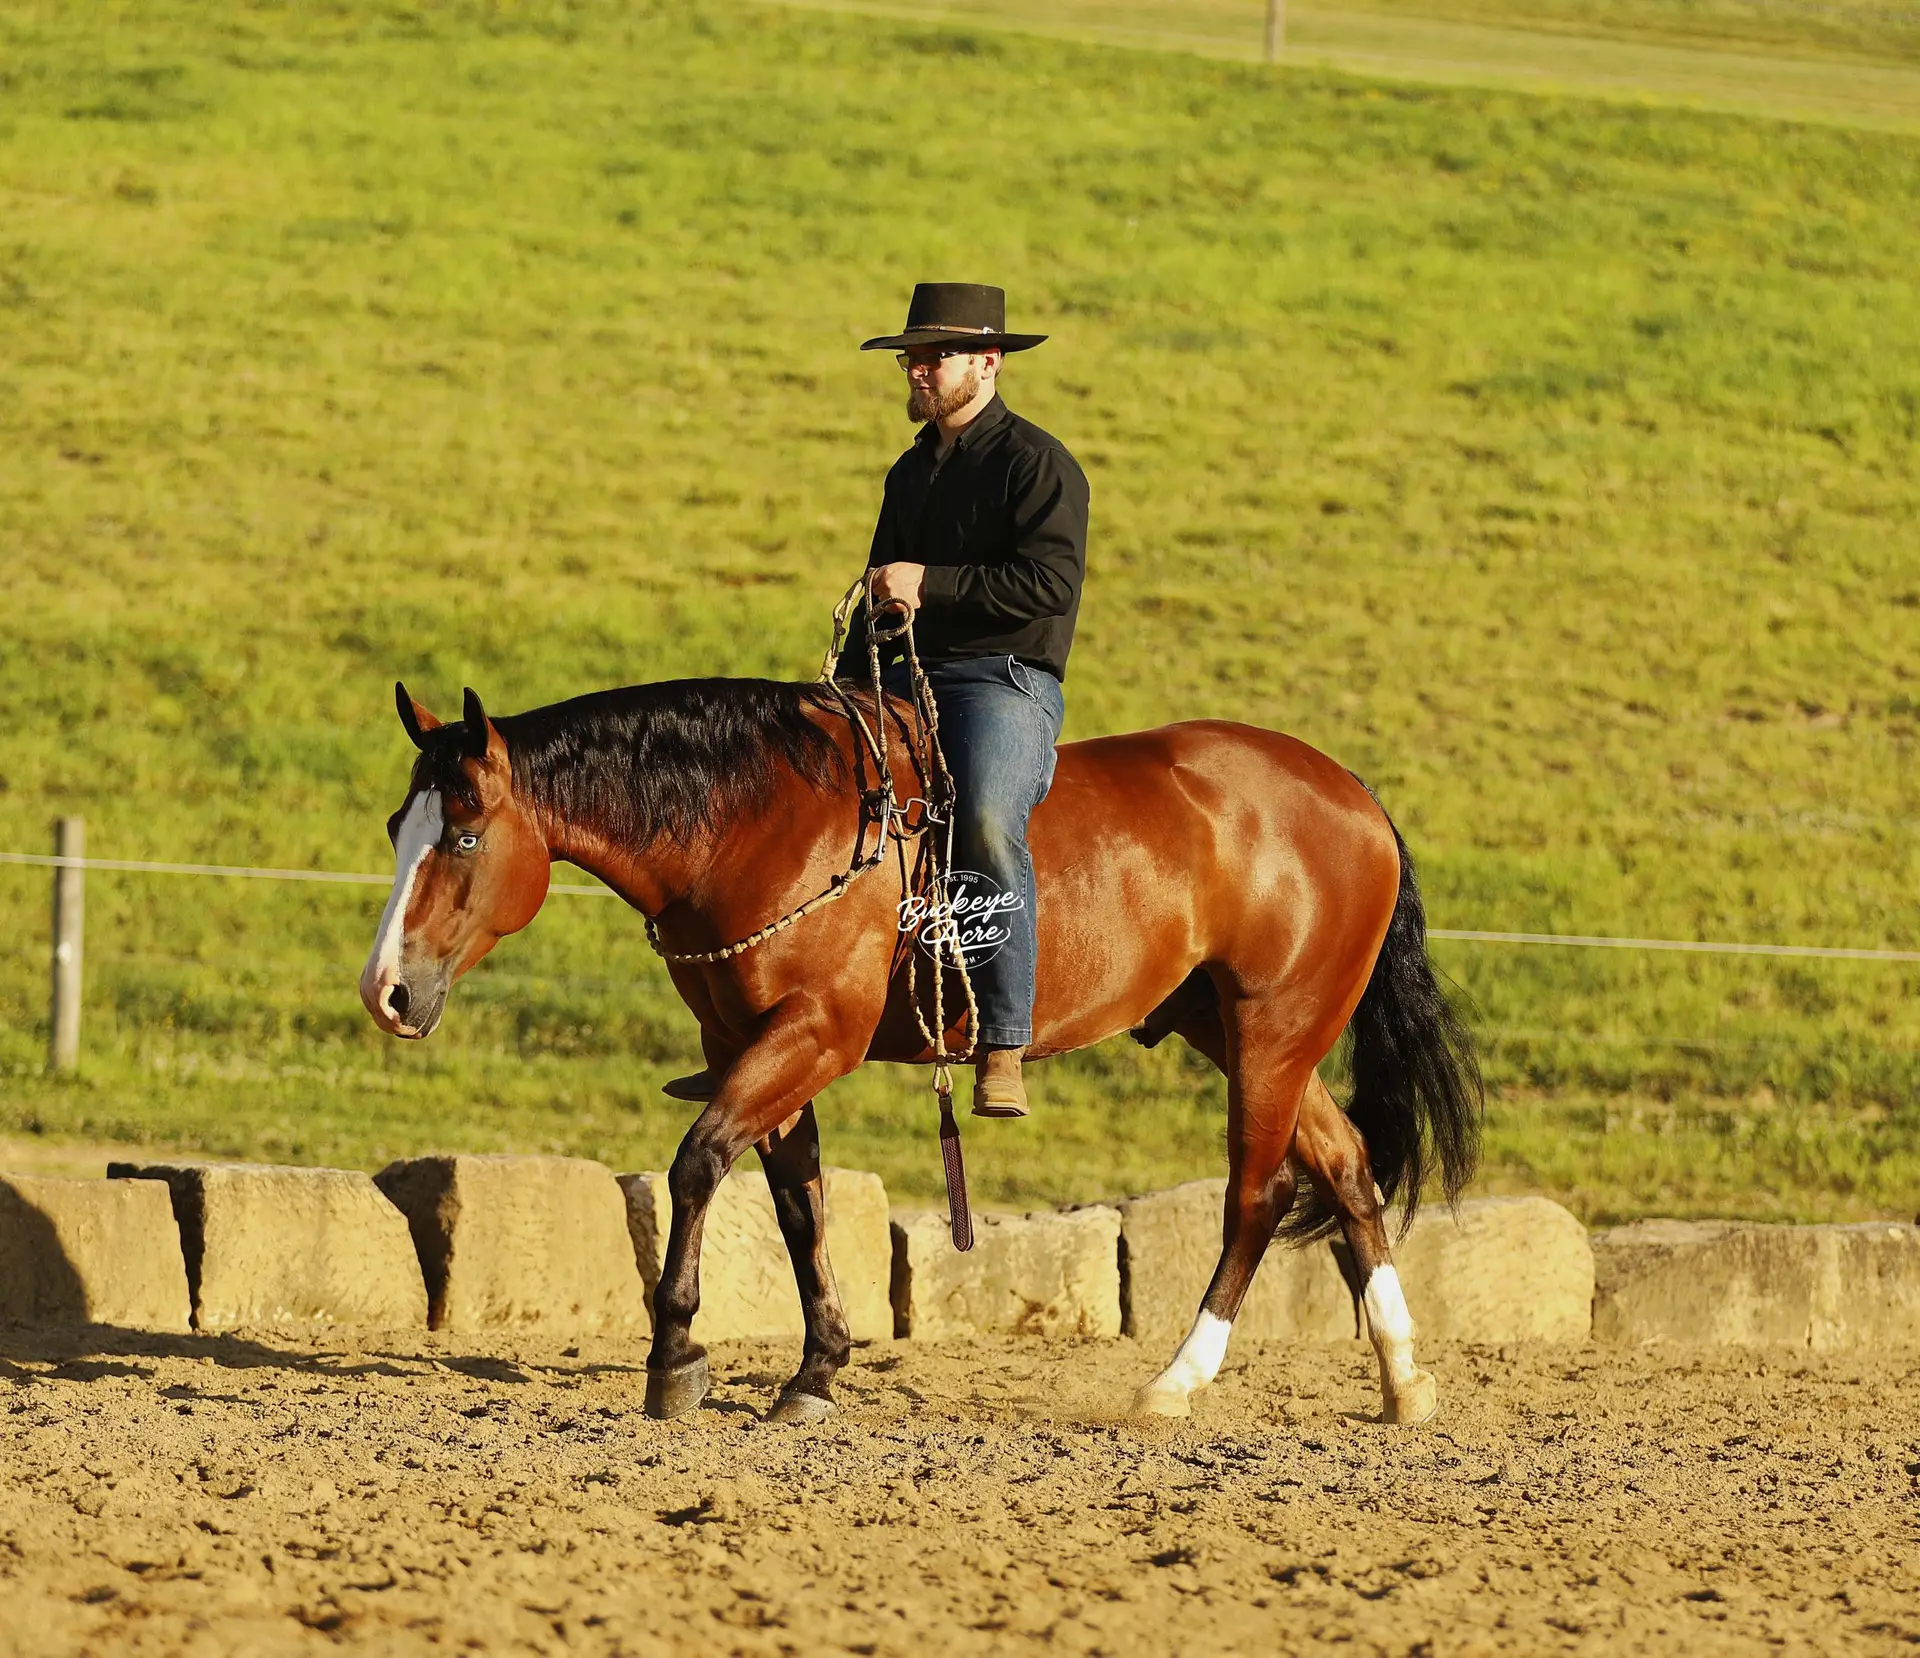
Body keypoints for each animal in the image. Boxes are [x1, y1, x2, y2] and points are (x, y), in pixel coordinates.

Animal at [359, 676, 1480, 1427]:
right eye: (395, 824)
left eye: (461, 836)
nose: (388, 991)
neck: (761, 820)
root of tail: (1349, 793)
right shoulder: (752, 1043)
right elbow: (797, 1200)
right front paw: (815, 1369)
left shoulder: (810, 1033)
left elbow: (699, 1162)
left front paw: (675, 1354)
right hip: (1241, 1029)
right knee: (1345, 1168)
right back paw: (1404, 1379)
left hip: (1271, 1031)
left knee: (1256, 1193)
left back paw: (1174, 1382)